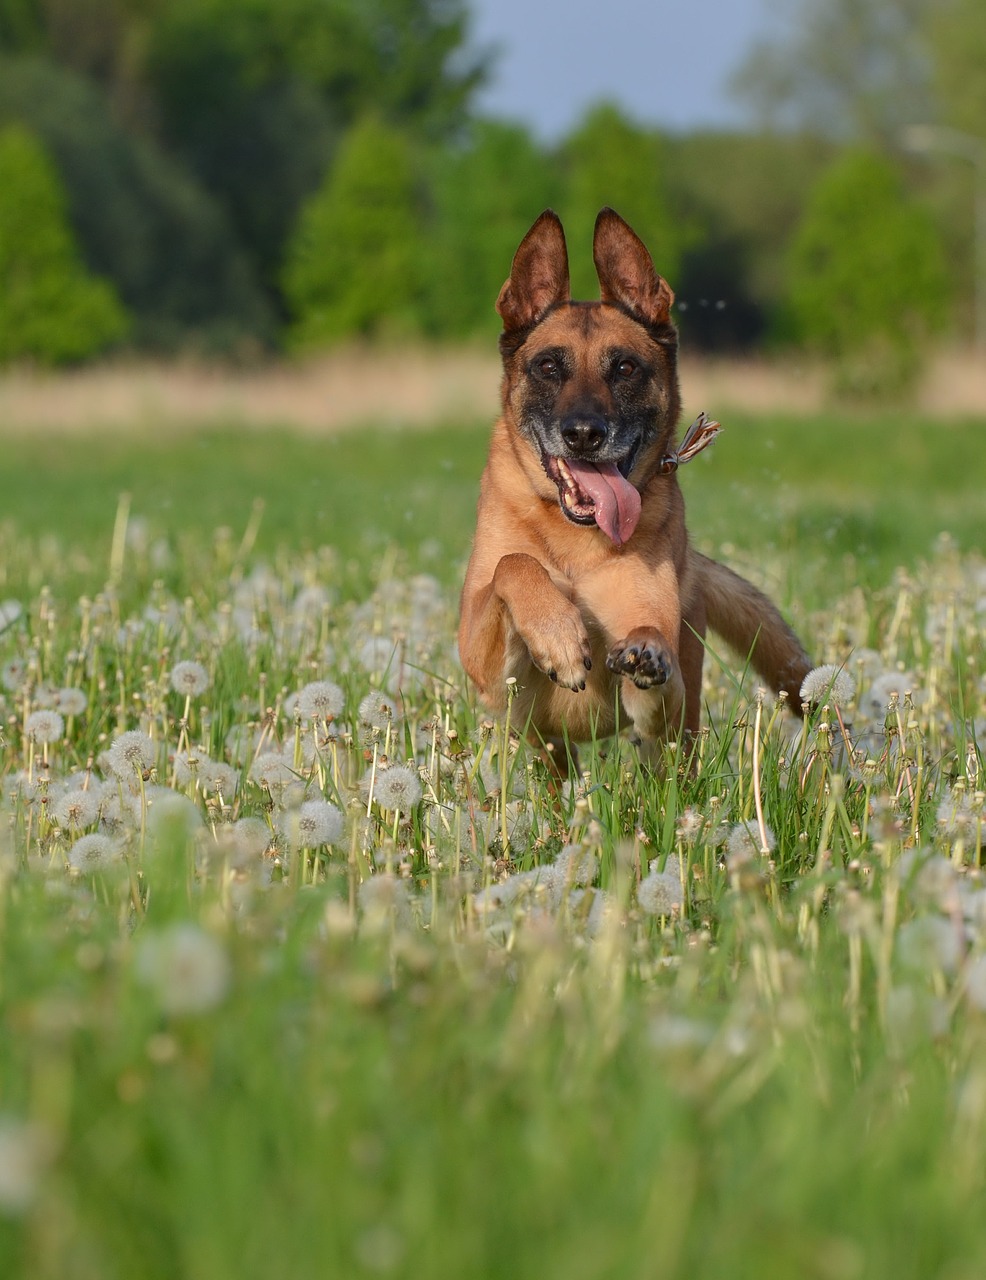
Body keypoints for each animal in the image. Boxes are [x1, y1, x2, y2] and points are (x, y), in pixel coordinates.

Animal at [455, 209, 809, 757]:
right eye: (548, 366)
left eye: (625, 367)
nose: (583, 435)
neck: (576, 541)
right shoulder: (487, 669)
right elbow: (513, 565)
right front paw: (558, 635)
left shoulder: (665, 703)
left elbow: (650, 646)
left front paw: (645, 650)